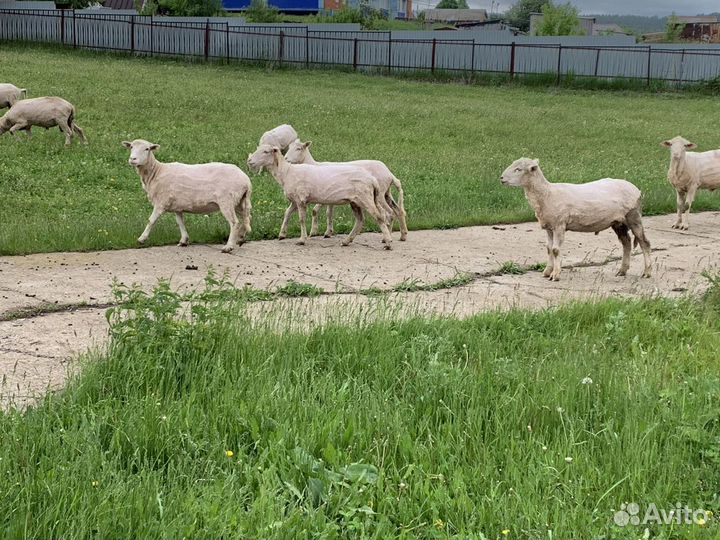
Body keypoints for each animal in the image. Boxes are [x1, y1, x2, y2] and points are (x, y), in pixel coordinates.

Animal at [123, 139, 252, 253]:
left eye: (147, 149)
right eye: (131, 147)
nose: (132, 159)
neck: (156, 172)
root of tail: (246, 180)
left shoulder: (161, 202)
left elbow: (151, 220)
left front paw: (141, 239)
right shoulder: (177, 205)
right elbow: (180, 222)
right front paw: (184, 240)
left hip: (227, 200)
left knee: (235, 222)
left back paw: (228, 246)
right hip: (240, 201)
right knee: (247, 217)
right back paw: (241, 238)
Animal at [247, 144, 394, 249]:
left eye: (266, 152)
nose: (249, 161)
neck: (286, 172)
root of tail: (372, 179)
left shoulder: (301, 199)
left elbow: (301, 219)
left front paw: (302, 239)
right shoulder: (294, 200)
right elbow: (287, 213)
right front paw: (282, 234)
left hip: (365, 198)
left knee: (379, 216)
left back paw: (387, 243)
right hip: (356, 201)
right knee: (360, 220)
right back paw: (347, 241)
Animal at [500, 158, 652, 281]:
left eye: (518, 169)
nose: (501, 178)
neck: (547, 194)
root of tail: (636, 188)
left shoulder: (559, 224)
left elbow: (555, 250)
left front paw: (555, 275)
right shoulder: (549, 227)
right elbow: (549, 249)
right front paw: (547, 272)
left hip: (633, 216)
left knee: (644, 243)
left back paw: (647, 272)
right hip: (618, 222)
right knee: (626, 243)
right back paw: (622, 271)